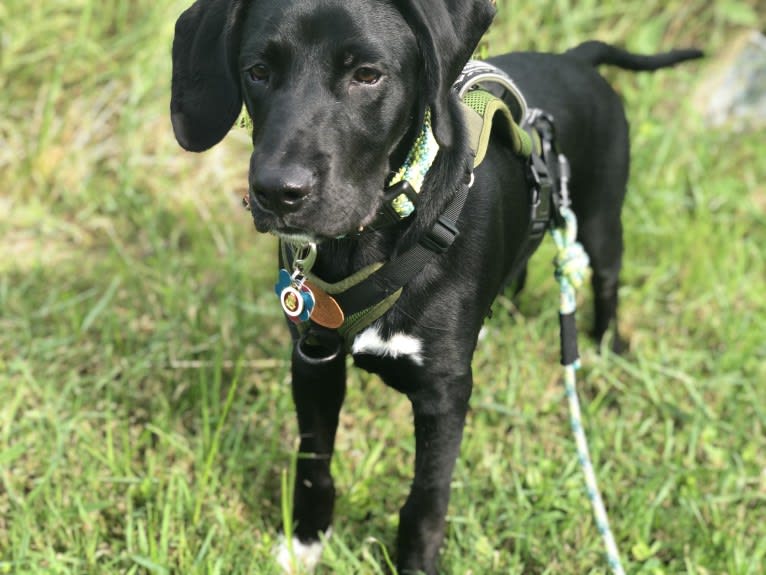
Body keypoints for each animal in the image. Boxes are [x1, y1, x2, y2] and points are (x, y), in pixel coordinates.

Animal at [171, 2, 704, 572]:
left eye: (368, 75)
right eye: (258, 72)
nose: (277, 192)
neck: (377, 239)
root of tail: (575, 58)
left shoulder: (444, 395)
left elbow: (427, 496)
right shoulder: (314, 361)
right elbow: (315, 463)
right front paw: (306, 543)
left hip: (602, 216)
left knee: (606, 282)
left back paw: (608, 347)